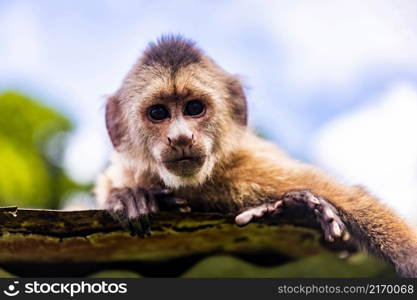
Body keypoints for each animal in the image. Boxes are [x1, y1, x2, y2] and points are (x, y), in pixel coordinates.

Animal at [94, 34, 416, 276]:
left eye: (194, 108)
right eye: (158, 113)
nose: (181, 137)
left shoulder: (247, 169)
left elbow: (355, 201)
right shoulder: (135, 170)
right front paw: (129, 197)